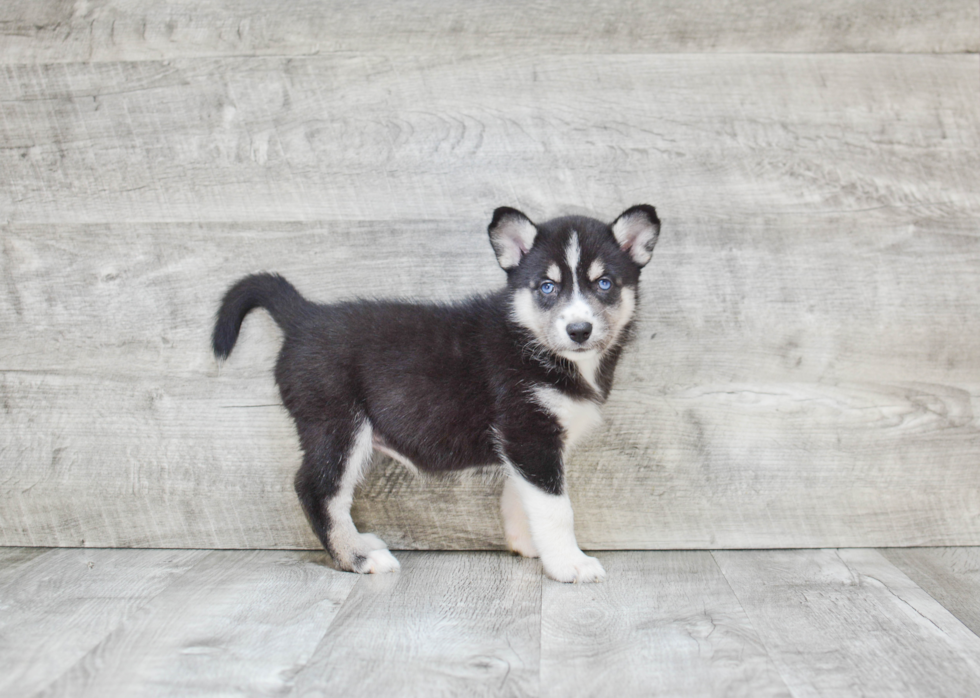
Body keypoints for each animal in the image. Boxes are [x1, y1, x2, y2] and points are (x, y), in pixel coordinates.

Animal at [212, 203, 660, 580]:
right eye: (547, 287)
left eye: (605, 284)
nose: (579, 330)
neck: (533, 342)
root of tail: (304, 316)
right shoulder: (530, 434)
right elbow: (556, 510)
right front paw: (569, 564)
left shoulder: (522, 448)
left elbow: (522, 498)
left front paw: (528, 547)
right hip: (337, 427)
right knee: (318, 491)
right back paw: (357, 557)